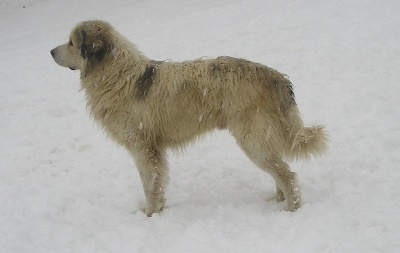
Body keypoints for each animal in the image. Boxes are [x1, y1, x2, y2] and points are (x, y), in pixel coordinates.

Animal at [50, 20, 328, 216]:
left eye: (71, 42)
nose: (51, 51)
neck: (115, 74)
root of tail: (275, 76)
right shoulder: (154, 150)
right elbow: (157, 182)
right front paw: (157, 210)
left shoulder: (143, 148)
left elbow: (149, 184)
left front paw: (149, 215)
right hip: (262, 138)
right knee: (280, 170)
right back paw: (277, 200)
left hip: (252, 139)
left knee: (288, 176)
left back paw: (290, 210)